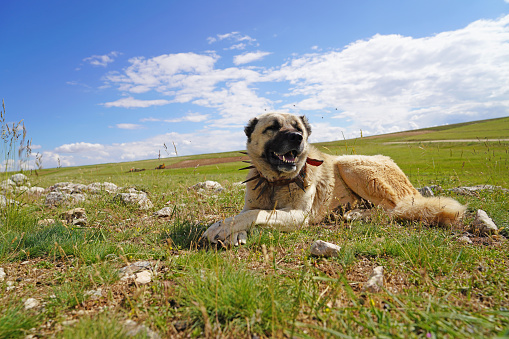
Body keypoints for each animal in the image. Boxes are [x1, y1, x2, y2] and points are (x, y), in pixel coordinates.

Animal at [202, 113, 464, 246]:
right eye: (273, 127)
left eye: (298, 128)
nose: (297, 137)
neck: (275, 182)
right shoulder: (252, 204)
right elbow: (245, 214)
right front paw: (231, 231)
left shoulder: (299, 216)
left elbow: (258, 215)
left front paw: (220, 227)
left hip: (349, 164)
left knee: (393, 209)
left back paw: (355, 214)